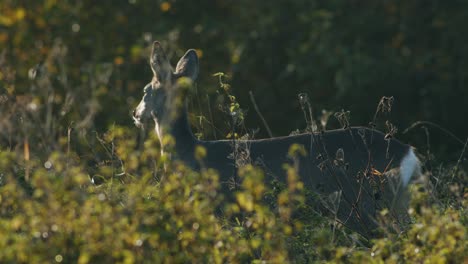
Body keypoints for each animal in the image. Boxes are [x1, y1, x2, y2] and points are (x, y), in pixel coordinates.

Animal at [132, 41, 420, 237]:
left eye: (146, 90)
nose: (135, 113)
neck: (188, 155)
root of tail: (409, 155)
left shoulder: (223, 209)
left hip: (368, 205)